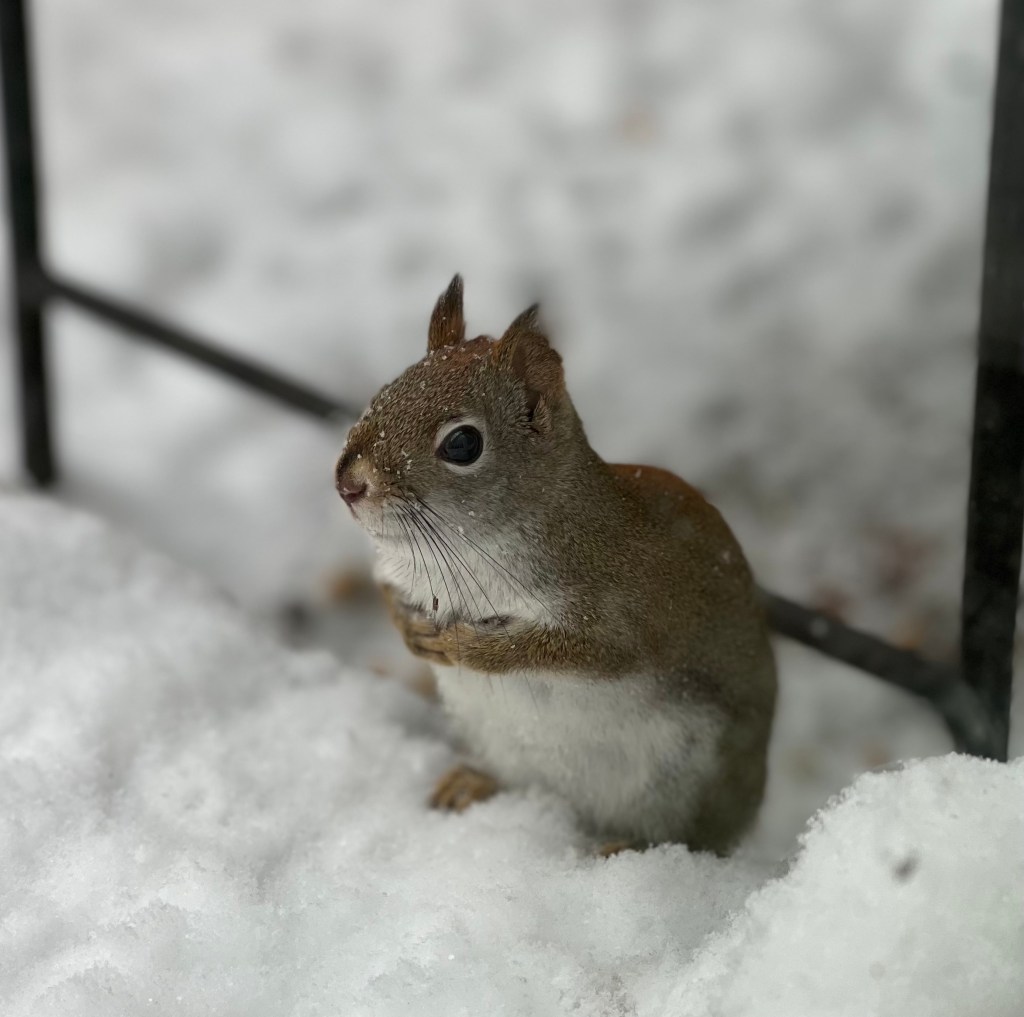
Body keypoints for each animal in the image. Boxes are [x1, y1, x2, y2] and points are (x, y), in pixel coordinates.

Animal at [335, 275, 777, 854]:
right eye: (382, 395)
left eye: (463, 443)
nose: (348, 484)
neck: (474, 539)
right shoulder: (395, 570)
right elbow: (389, 594)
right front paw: (411, 633)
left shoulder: (622, 611)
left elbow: (575, 650)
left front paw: (470, 647)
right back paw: (474, 783)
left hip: (691, 778)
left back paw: (626, 847)